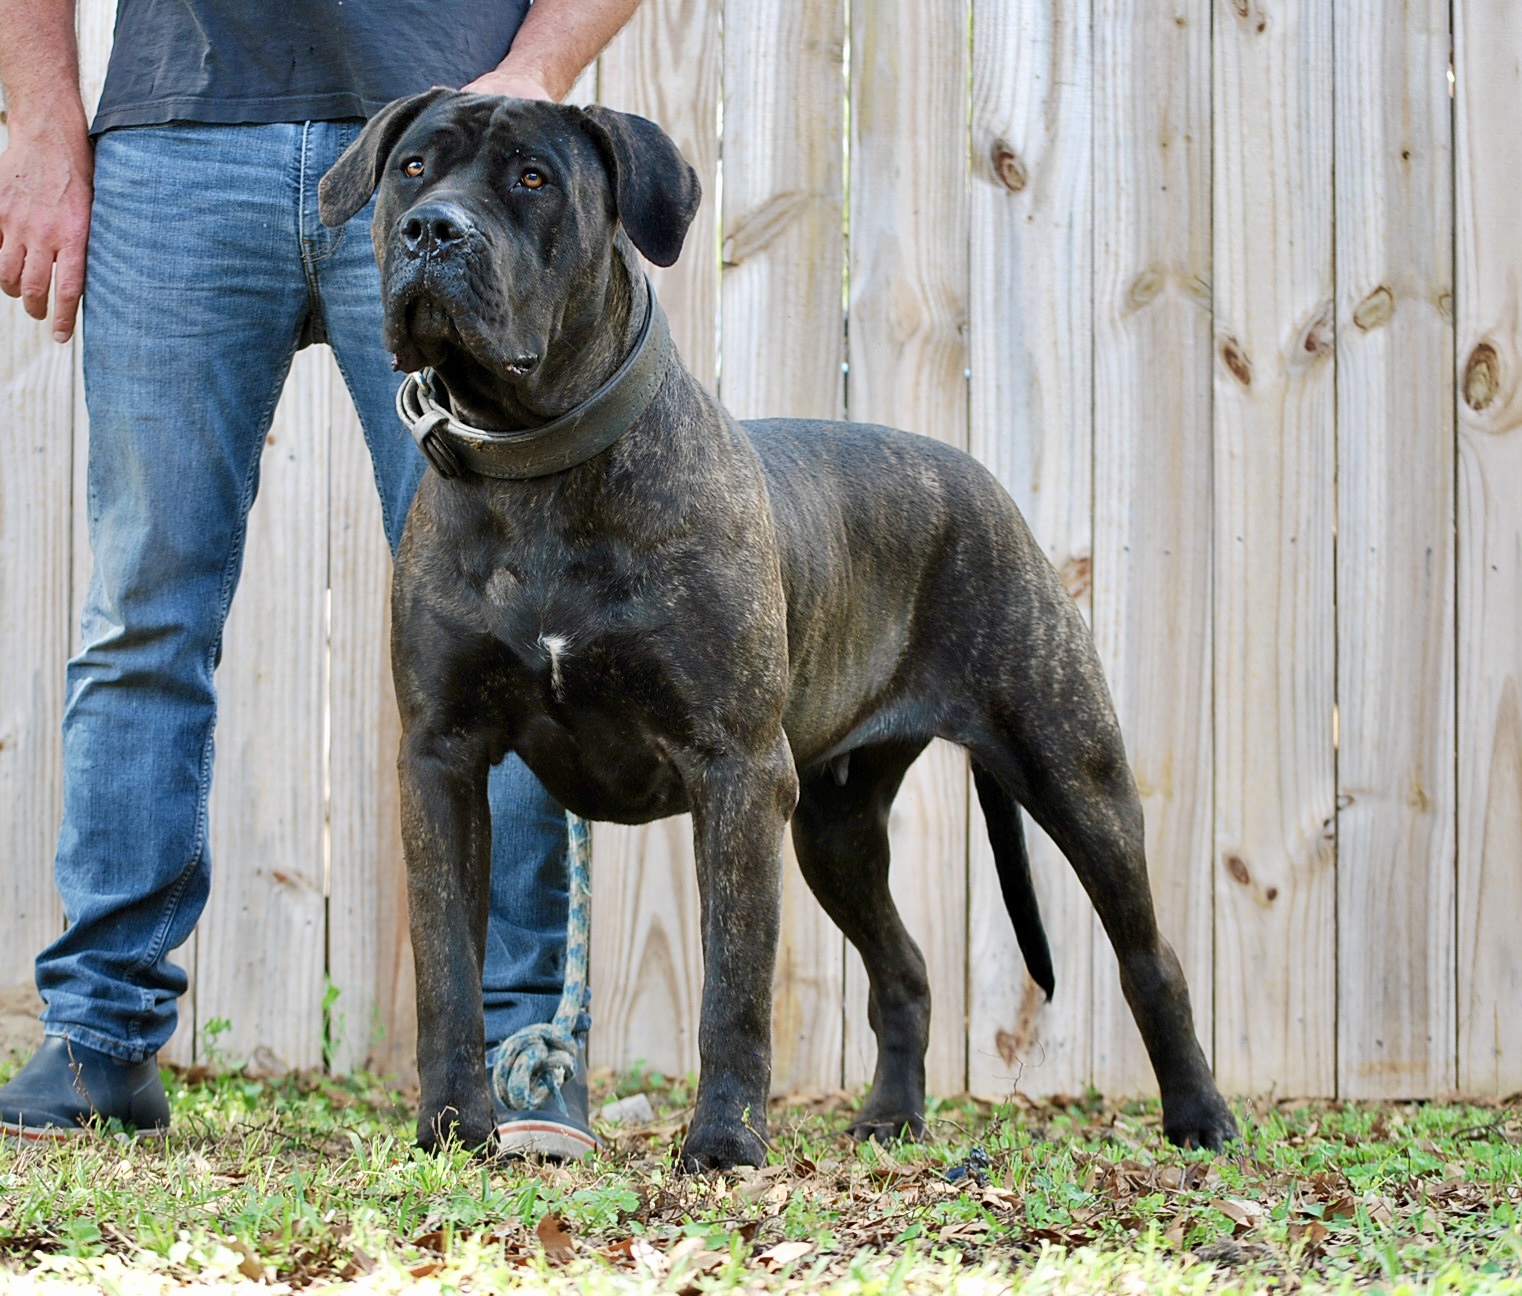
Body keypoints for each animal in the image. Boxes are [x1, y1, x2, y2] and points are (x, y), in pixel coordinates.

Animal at [319, 88, 1239, 1170]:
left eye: (532, 179)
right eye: (414, 168)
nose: (432, 231)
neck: (534, 462)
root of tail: (980, 481)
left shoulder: (737, 772)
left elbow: (733, 982)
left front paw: (723, 1141)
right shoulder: (442, 759)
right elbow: (446, 970)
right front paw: (453, 1130)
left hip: (1073, 772)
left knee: (1150, 954)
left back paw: (1200, 1117)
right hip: (836, 827)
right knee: (905, 968)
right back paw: (890, 1118)